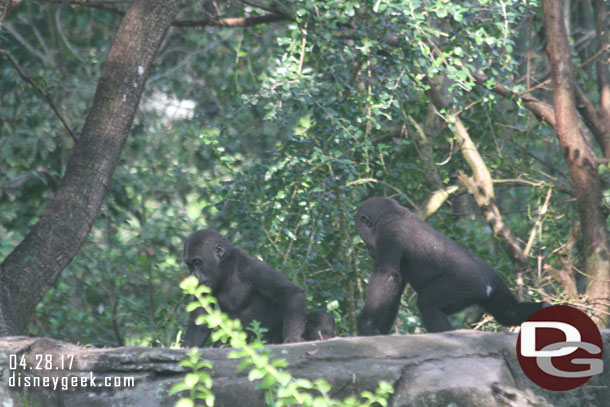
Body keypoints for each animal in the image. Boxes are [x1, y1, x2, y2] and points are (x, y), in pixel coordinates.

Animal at [354, 198, 544, 334]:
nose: (367, 249)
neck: (392, 215)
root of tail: (488, 284)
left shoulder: (389, 235)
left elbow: (387, 275)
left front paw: (367, 325)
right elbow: (395, 290)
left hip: (467, 285)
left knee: (428, 304)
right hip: (495, 285)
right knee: (509, 313)